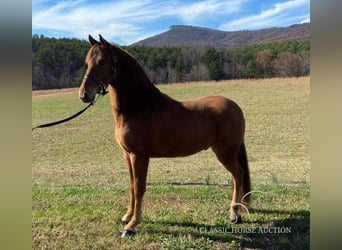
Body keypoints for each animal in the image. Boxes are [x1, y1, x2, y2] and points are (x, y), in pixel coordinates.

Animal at [78, 34, 251, 237]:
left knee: (238, 174)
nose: (84, 95)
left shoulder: (139, 156)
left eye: (102, 62)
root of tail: (235, 106)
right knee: (236, 176)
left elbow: (139, 188)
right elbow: (131, 186)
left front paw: (132, 225)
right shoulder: (127, 155)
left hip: (225, 153)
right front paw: (127, 216)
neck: (139, 106)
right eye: (87, 62)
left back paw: (235, 214)